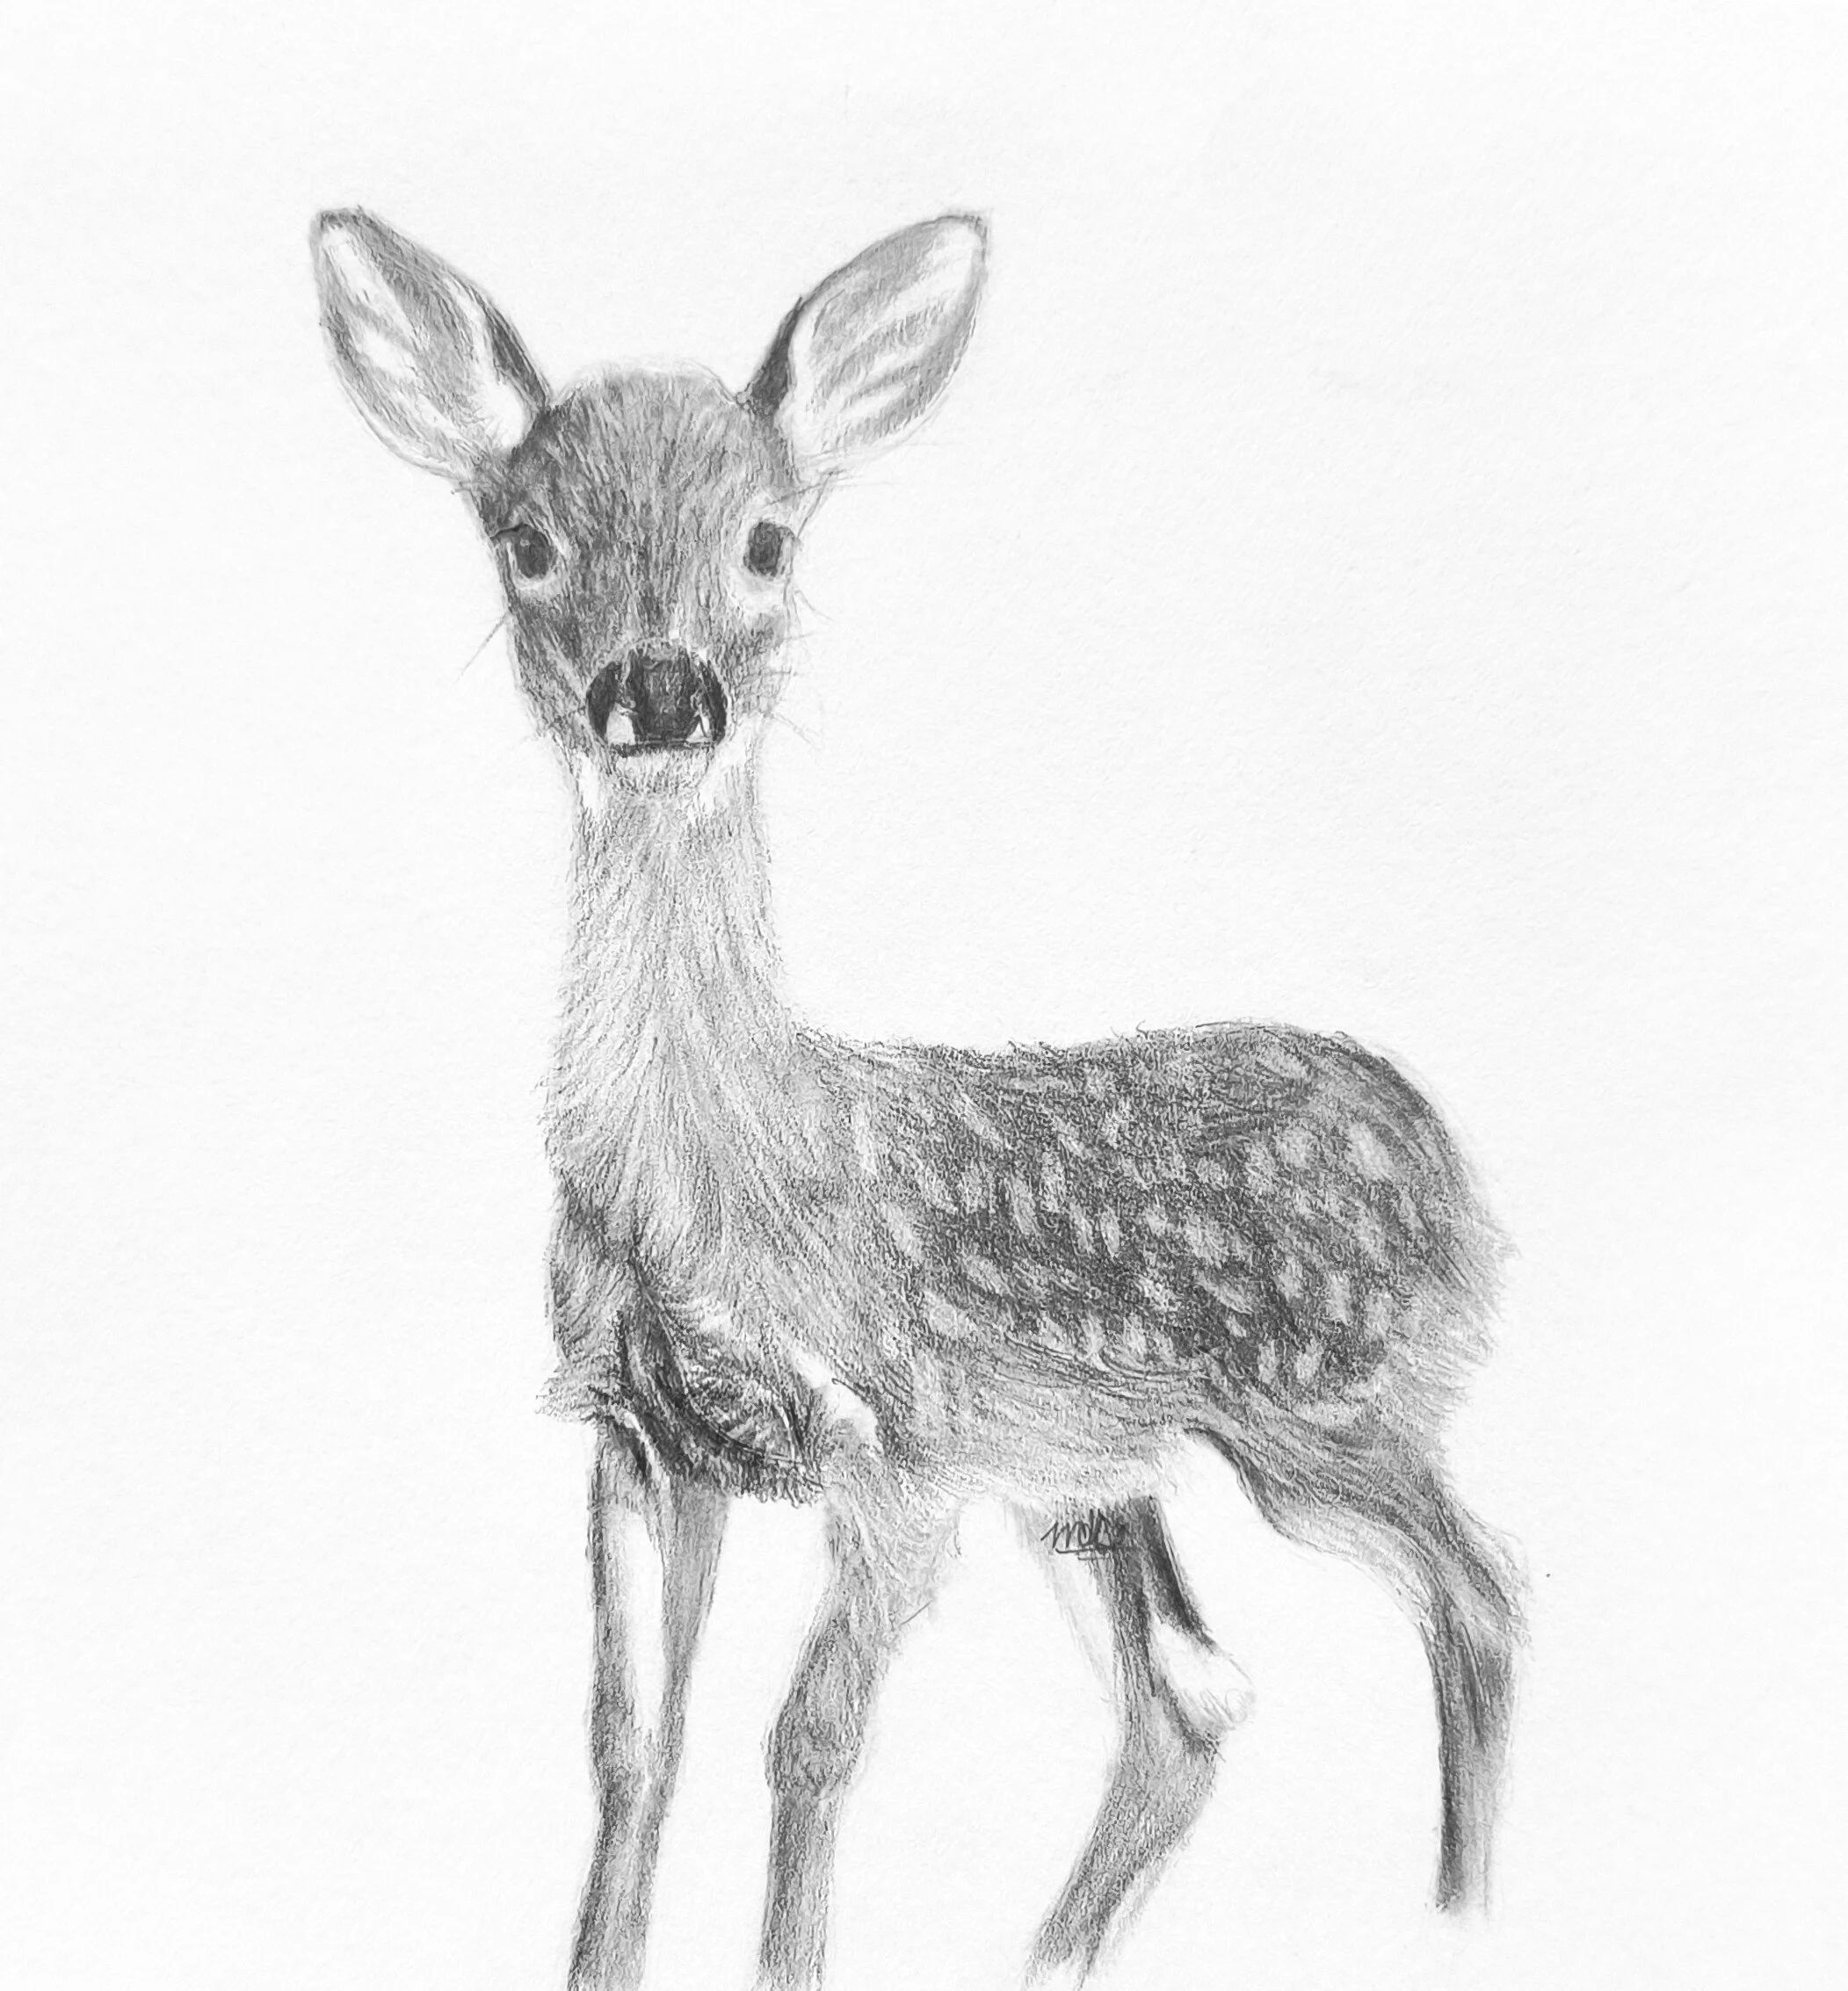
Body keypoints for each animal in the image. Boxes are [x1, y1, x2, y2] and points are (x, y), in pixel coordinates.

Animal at [311, 208, 1524, 1991]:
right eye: (526, 539)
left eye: (765, 540)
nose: (657, 689)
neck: (716, 1174)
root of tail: (1447, 1161)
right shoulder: (639, 1437)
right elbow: (629, 1741)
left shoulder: (894, 1446)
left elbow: (807, 1739)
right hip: (1095, 1481)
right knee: (1191, 1700)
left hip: (1324, 1416)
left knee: (1475, 1595)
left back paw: (1464, 1910)